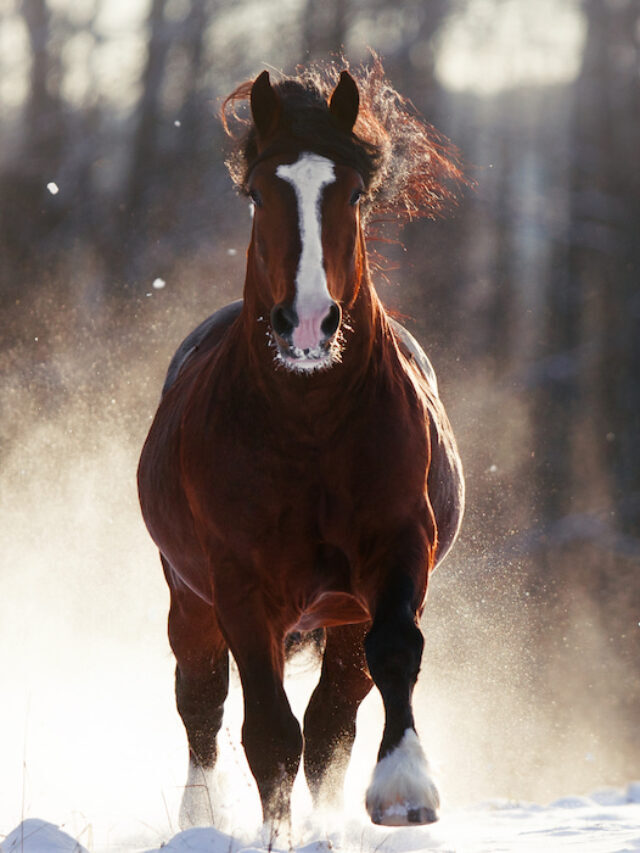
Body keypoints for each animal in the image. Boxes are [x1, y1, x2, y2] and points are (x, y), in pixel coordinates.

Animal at [138, 60, 465, 831]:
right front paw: (273, 837)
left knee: (331, 721)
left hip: (339, 614)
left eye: (355, 192)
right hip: (188, 597)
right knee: (202, 701)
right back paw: (200, 818)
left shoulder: (399, 547)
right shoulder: (239, 583)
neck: (311, 427)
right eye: (259, 192)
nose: (310, 324)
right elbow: (267, 734)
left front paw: (406, 791)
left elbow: (390, 656)